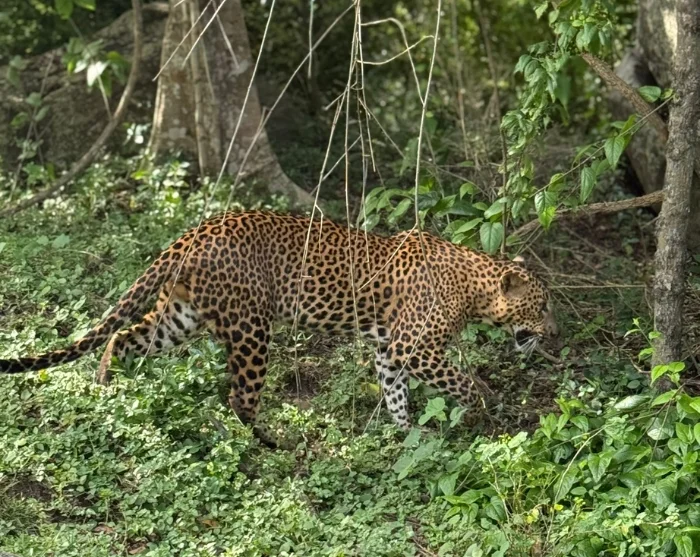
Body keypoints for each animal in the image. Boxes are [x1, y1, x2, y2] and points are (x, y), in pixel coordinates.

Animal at [0, 211, 558, 443]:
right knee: (239, 399)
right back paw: (274, 443)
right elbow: (463, 383)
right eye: (542, 306)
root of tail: (191, 234)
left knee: (122, 336)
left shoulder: (390, 349)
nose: (556, 333)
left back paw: (106, 387)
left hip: (179, 317)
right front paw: (483, 409)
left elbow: (395, 393)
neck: (474, 286)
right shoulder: (414, 347)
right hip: (250, 329)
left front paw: (406, 436)